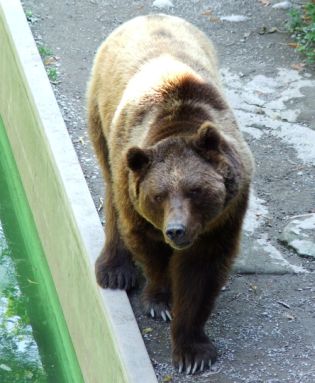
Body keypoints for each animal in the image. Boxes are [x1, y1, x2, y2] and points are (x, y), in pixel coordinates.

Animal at [86, 14, 254, 376]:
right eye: (158, 195)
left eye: (196, 190)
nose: (176, 230)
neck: (178, 121)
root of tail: (148, 16)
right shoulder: (134, 185)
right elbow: (148, 245)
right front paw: (160, 300)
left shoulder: (226, 214)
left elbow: (202, 271)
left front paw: (193, 353)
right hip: (101, 116)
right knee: (109, 185)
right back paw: (114, 270)